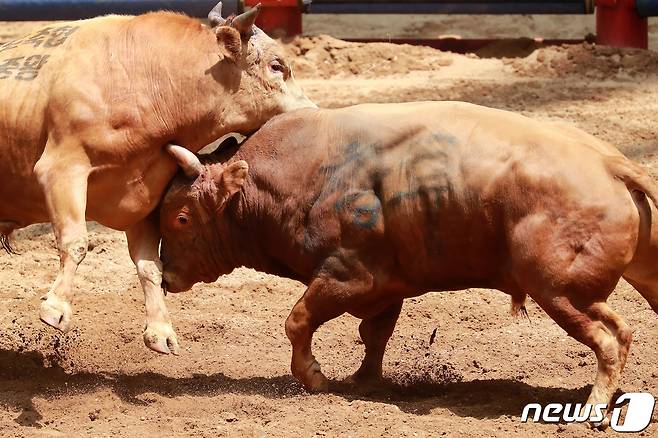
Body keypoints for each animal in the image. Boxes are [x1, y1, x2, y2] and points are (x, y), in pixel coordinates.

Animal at [0, 1, 314, 354]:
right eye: (277, 66)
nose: (311, 111)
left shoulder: (145, 197)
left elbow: (150, 265)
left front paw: (160, 330)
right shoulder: (63, 168)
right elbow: (76, 242)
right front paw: (56, 308)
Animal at [158, 101, 656, 422]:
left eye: (181, 218)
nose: (166, 278)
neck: (299, 177)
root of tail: (610, 164)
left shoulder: (346, 277)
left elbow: (298, 321)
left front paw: (314, 377)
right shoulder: (387, 286)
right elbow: (373, 334)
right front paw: (365, 381)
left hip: (560, 292)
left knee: (612, 337)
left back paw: (593, 406)